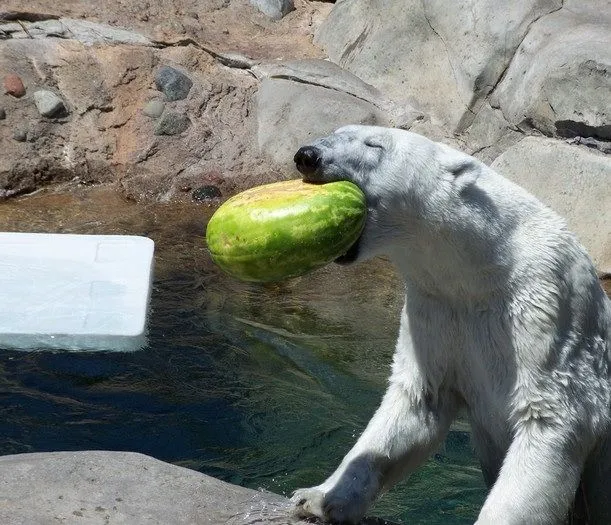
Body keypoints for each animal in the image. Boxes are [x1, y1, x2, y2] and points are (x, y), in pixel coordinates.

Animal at [290, 125, 611, 520]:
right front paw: (317, 497)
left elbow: (548, 417)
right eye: (334, 132)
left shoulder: (547, 306)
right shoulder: (437, 308)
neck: (482, 266)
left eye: (374, 144)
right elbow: (417, 401)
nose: (308, 156)